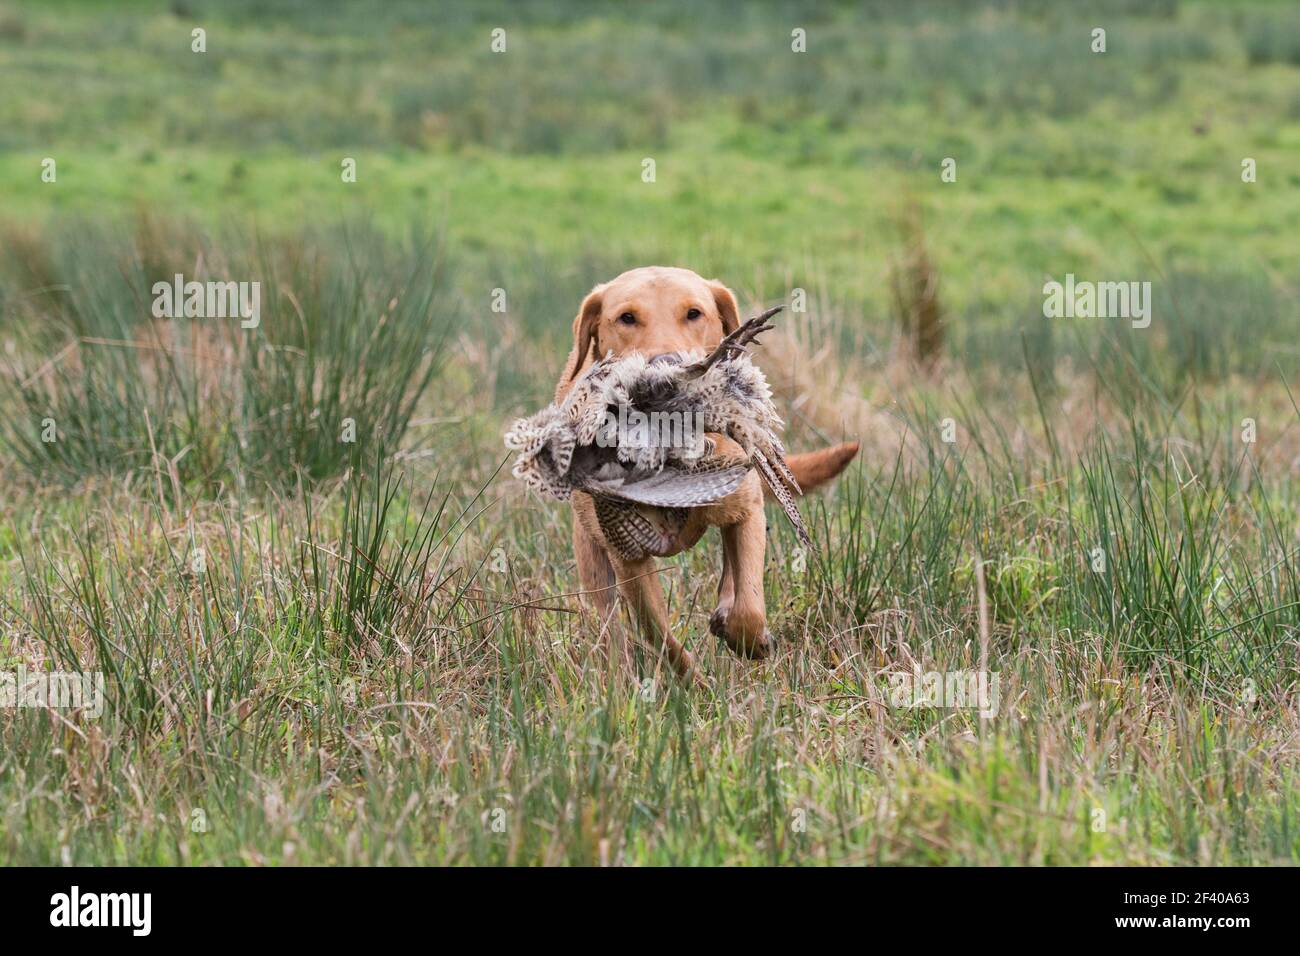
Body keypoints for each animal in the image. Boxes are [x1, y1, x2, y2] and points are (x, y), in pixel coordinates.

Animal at [553, 267, 857, 681]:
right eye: (626, 317)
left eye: (694, 313)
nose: (667, 370)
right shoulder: (627, 557)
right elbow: (660, 635)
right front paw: (696, 685)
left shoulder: (748, 508)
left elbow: (749, 604)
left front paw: (750, 639)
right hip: (593, 560)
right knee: (611, 628)